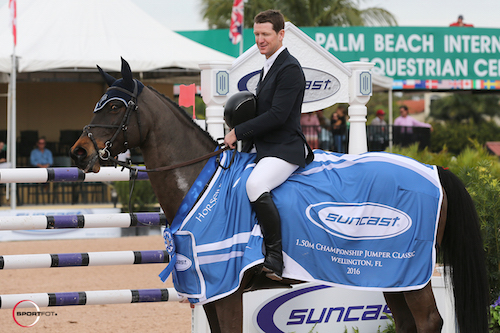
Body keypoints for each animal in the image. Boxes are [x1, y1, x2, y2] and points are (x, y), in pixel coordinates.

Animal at [70, 58, 488, 330]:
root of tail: (435, 169)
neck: (200, 181)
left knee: (429, 321)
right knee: (405, 322)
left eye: (115, 106)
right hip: (389, 274)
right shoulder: (210, 292)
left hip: (410, 271)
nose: (78, 153)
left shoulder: (228, 289)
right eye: (97, 104)